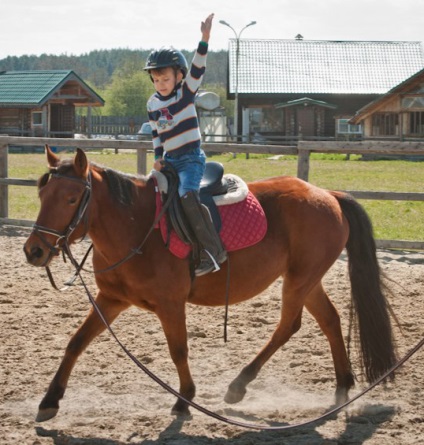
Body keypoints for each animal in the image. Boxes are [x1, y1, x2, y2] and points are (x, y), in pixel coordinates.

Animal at [23, 147, 396, 424]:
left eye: (72, 199)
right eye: (42, 193)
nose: (34, 250)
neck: (137, 227)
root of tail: (327, 195)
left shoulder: (171, 304)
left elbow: (178, 350)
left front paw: (184, 399)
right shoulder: (111, 299)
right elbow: (76, 342)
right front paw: (50, 399)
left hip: (299, 280)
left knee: (289, 325)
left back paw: (239, 385)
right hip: (308, 279)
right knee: (329, 319)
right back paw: (342, 386)